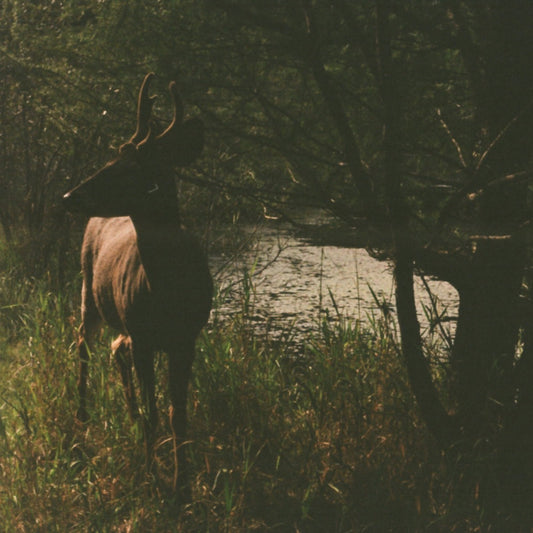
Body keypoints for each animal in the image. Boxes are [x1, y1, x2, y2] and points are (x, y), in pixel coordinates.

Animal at [62, 72, 212, 496]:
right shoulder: (145, 336)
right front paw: (153, 476)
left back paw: (125, 418)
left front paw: (183, 483)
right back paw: (82, 419)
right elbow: (154, 412)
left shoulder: (185, 337)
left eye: (130, 168)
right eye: (111, 159)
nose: (69, 195)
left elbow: (178, 414)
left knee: (116, 347)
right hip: (87, 289)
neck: (165, 290)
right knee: (83, 345)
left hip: (122, 320)